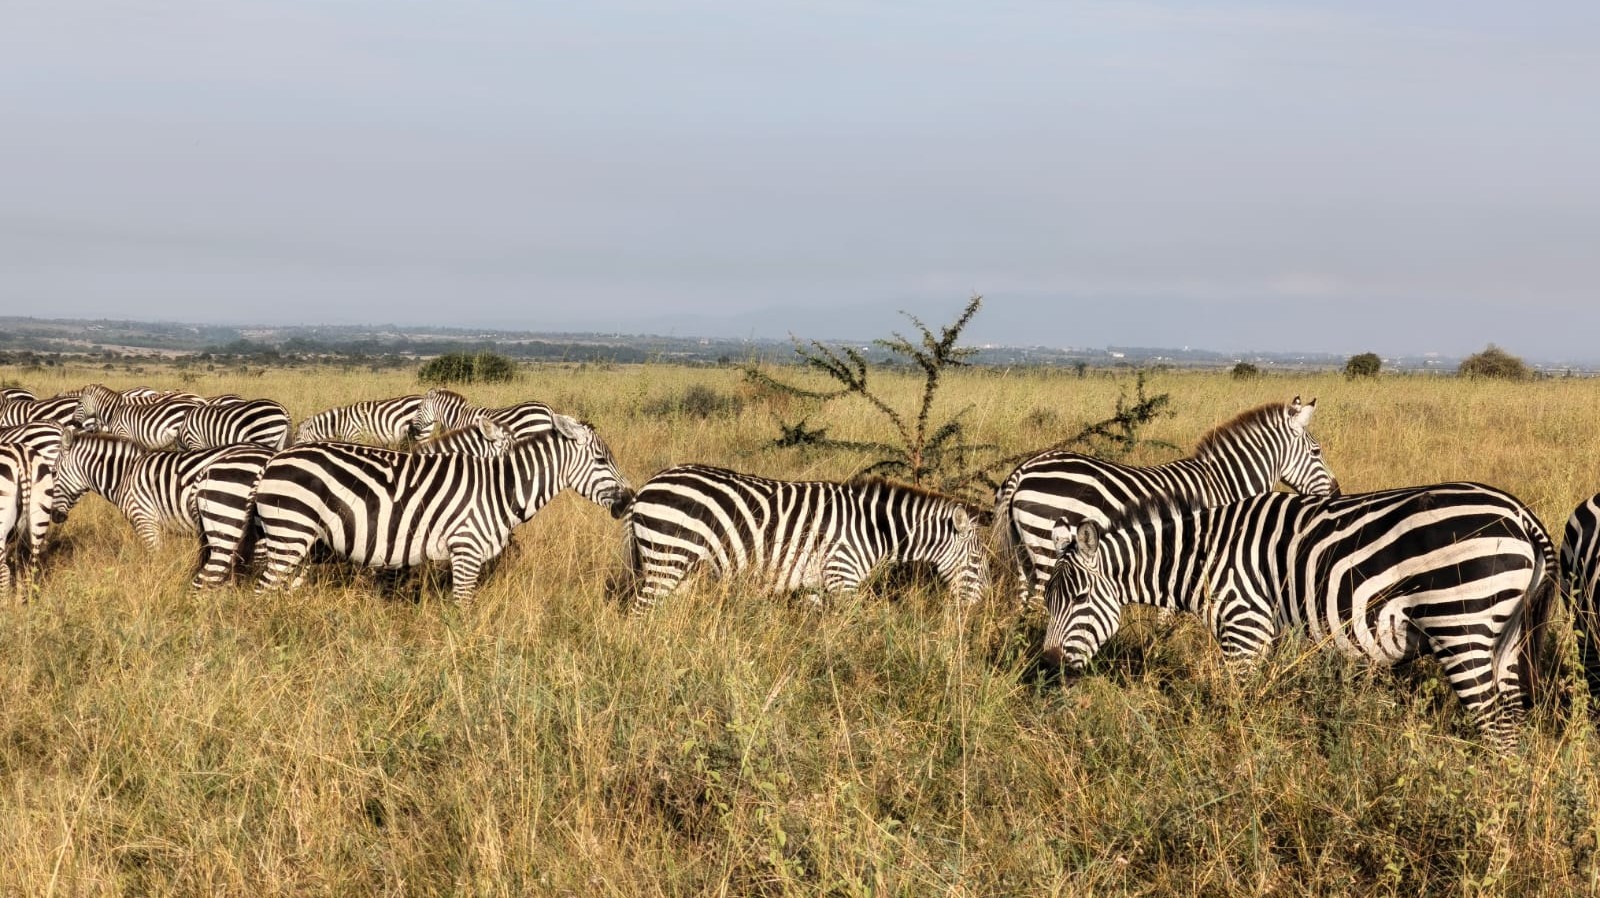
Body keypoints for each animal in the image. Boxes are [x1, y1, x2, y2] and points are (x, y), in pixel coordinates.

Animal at [250, 414, 631, 603]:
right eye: (602, 460)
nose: (629, 500)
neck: (500, 490)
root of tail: (273, 461)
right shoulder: (466, 550)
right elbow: (462, 609)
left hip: (298, 539)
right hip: (290, 531)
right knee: (262, 592)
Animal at [622, 464, 989, 614]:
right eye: (977, 562)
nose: (980, 607)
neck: (875, 529)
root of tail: (646, 488)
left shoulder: (817, 586)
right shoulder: (843, 577)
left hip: (679, 567)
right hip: (667, 557)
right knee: (640, 612)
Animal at [996, 397, 1339, 607]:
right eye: (1317, 452)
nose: (1336, 492)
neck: (1222, 481)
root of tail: (1025, 470)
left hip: (1024, 552)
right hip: (1047, 548)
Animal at [1042, 482, 1559, 750]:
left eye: (1079, 598)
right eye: (1048, 601)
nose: (1047, 670)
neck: (1203, 559)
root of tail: (1521, 515)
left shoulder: (1243, 625)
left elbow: (1239, 706)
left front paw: (1239, 766)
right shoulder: (1263, 634)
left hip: (1461, 627)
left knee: (1494, 725)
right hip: (1505, 636)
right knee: (1510, 721)